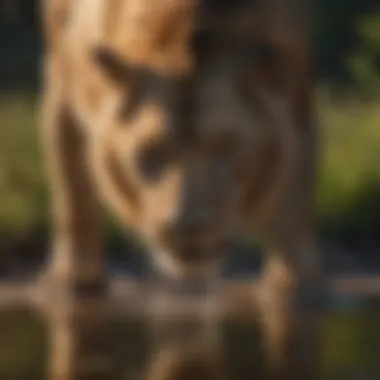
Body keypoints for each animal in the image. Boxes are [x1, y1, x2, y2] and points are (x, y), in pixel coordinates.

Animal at [40, 0, 320, 374]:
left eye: (225, 146)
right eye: (151, 151)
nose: (189, 226)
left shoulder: (296, 87)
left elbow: (294, 195)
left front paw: (292, 284)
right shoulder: (63, 72)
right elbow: (72, 192)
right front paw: (73, 280)